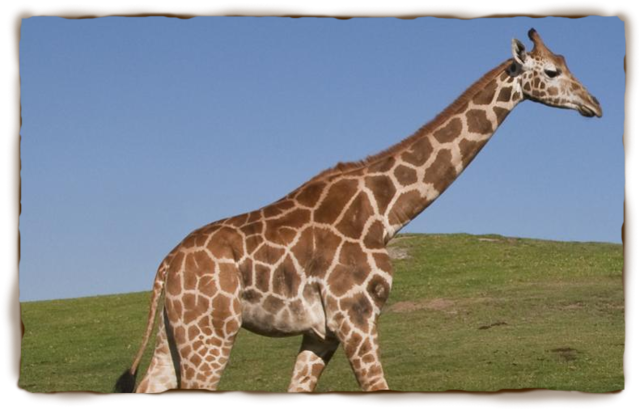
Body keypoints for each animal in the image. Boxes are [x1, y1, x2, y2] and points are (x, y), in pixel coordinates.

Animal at [114, 29, 601, 393]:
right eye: (553, 70)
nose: (594, 104)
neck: (386, 212)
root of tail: (166, 264)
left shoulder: (322, 332)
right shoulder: (357, 317)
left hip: (174, 334)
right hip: (212, 331)